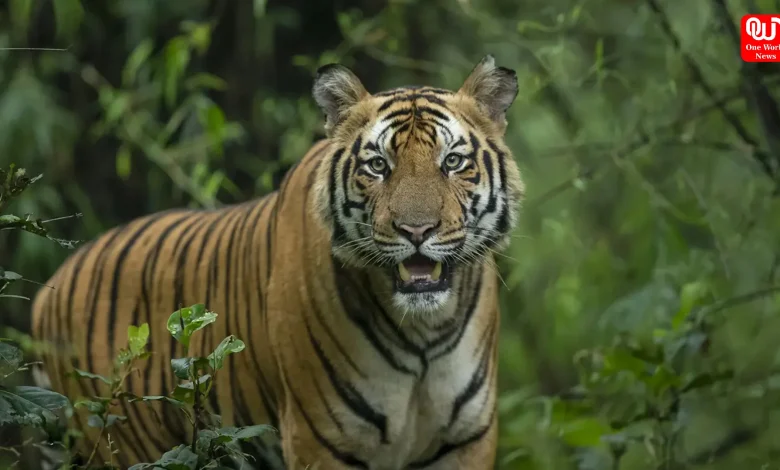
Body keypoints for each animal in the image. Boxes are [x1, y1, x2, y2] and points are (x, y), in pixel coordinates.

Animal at [30, 54, 525, 470]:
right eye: (378, 166)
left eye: (453, 161)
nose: (416, 231)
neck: (424, 329)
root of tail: (50, 287)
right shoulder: (320, 438)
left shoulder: (467, 438)